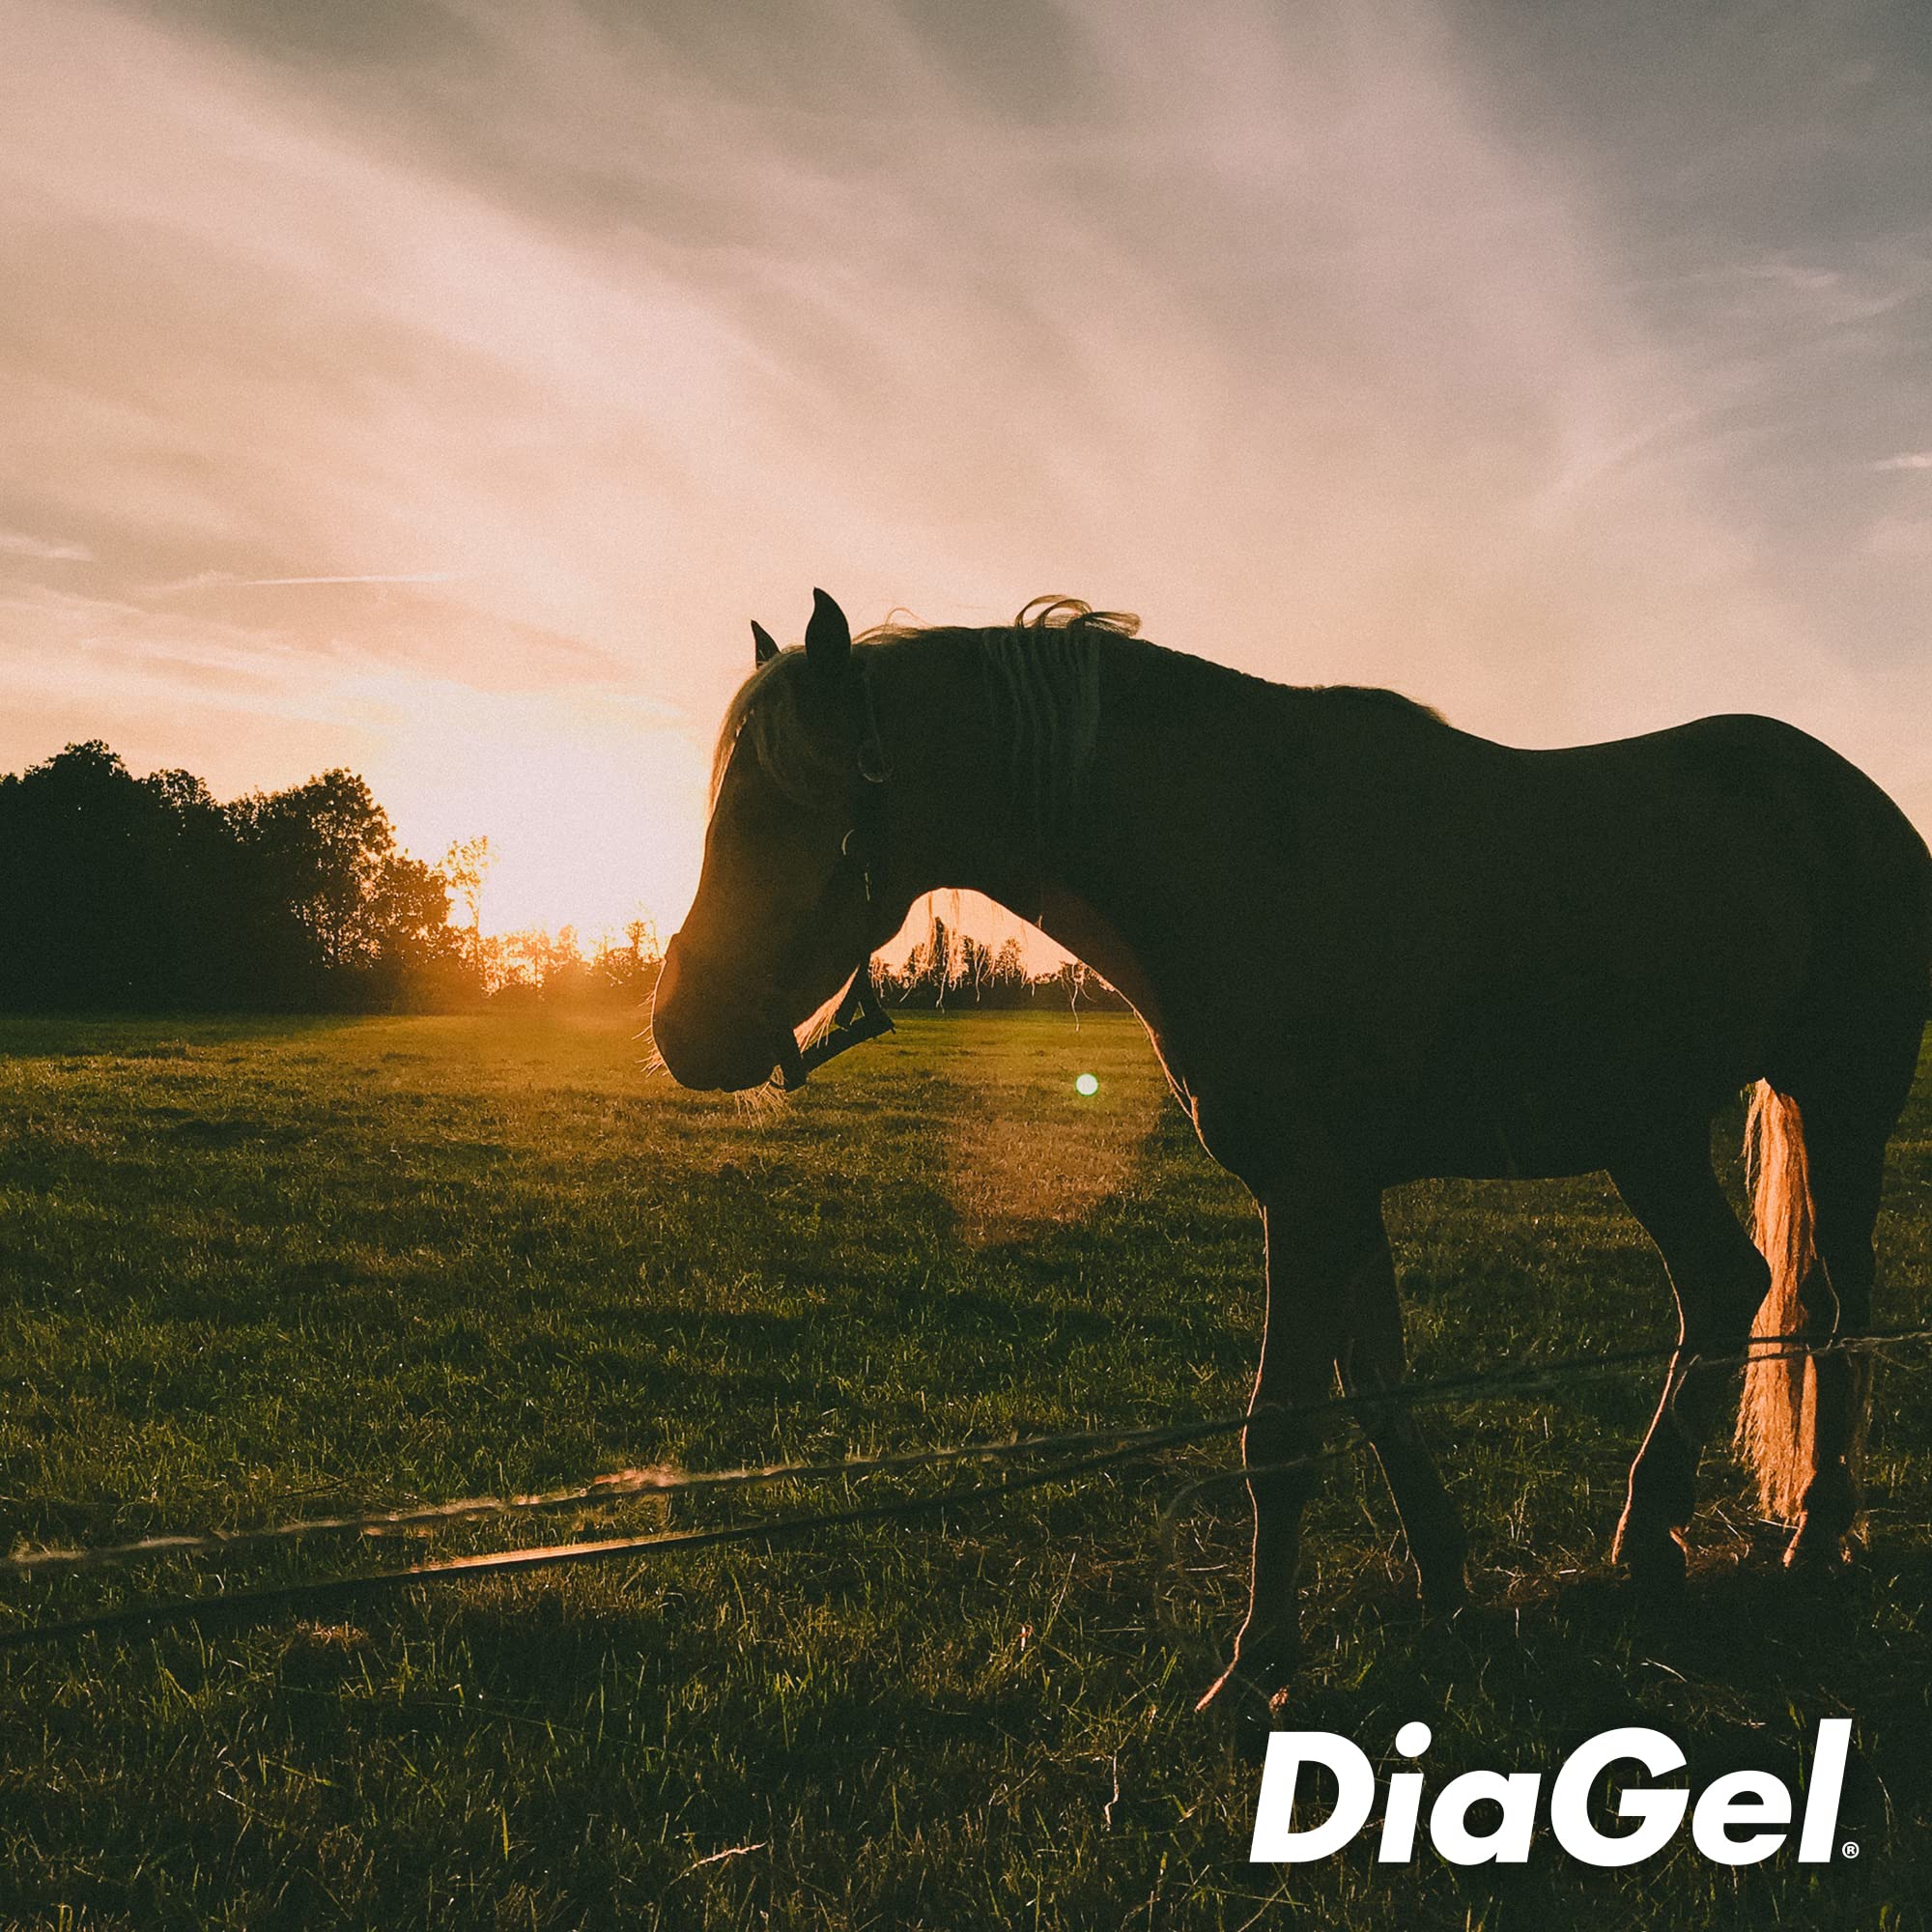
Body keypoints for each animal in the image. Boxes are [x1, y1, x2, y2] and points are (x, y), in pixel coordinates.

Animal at [651, 588, 1932, 1730]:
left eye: (777, 807)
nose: (680, 1030)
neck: (1250, 850)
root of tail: (1851, 798)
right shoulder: (1339, 1195)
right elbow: (1374, 1391)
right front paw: (1445, 1581)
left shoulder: (1307, 1195)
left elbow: (1279, 1432)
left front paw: (1257, 1663)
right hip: (1649, 1131)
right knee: (1723, 1287)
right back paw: (1651, 1534)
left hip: (1835, 1108)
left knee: (1829, 1308)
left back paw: (1816, 1530)